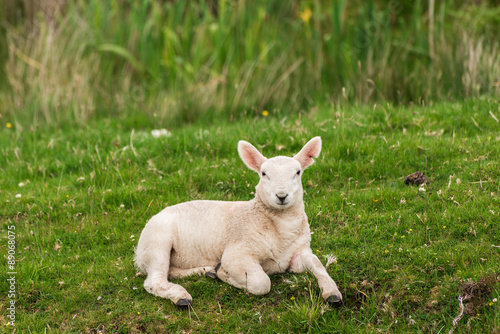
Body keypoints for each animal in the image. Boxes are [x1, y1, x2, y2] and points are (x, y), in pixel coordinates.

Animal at [134, 137, 344, 306]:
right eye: (263, 174)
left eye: (298, 172)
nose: (282, 196)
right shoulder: (237, 253)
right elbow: (261, 283)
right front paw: (224, 274)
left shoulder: (300, 252)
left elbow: (318, 265)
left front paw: (332, 293)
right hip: (156, 241)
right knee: (154, 280)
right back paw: (181, 296)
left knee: (170, 271)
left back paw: (206, 271)